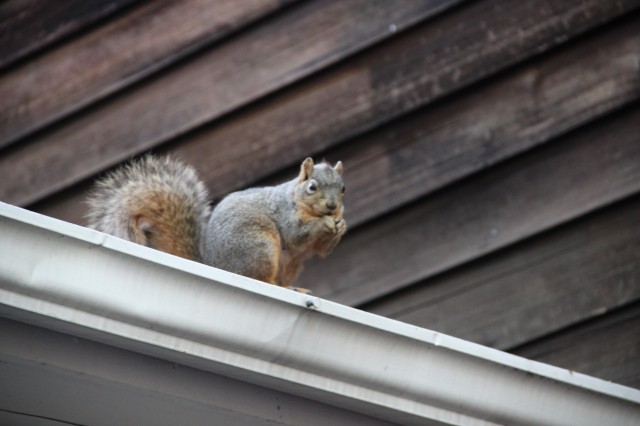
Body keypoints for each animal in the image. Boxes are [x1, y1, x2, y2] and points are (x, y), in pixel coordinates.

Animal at [86, 155, 344, 292]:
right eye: (312, 187)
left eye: (343, 188)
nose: (332, 206)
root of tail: (215, 265)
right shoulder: (284, 213)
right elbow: (295, 234)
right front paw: (325, 224)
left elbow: (321, 249)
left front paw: (340, 226)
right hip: (259, 247)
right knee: (261, 279)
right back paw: (280, 286)